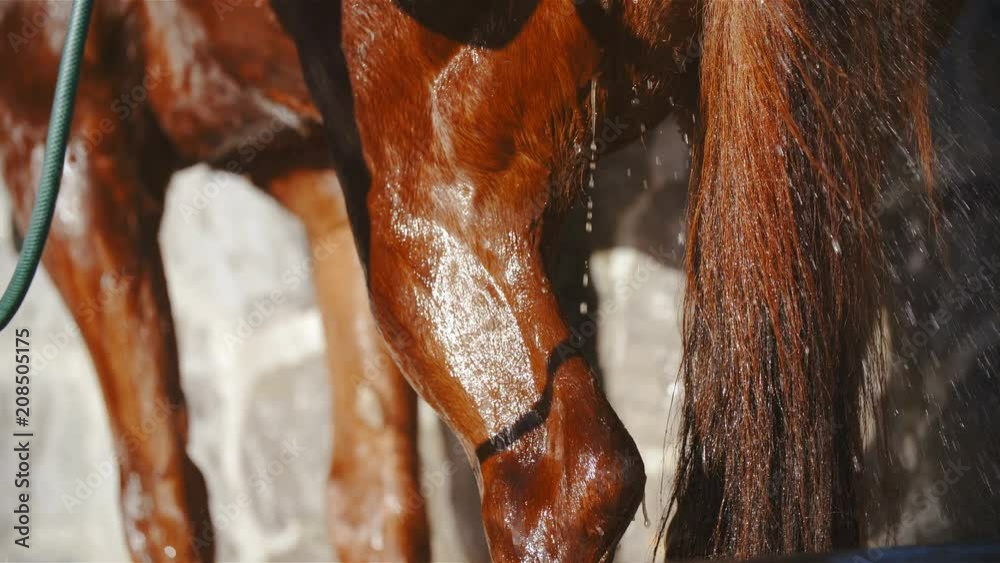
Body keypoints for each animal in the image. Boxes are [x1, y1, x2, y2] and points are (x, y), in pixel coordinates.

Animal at [0, 0, 966, 561]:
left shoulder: (64, 144)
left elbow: (160, 491)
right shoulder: (324, 179)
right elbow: (372, 497)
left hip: (436, 208)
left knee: (562, 484)